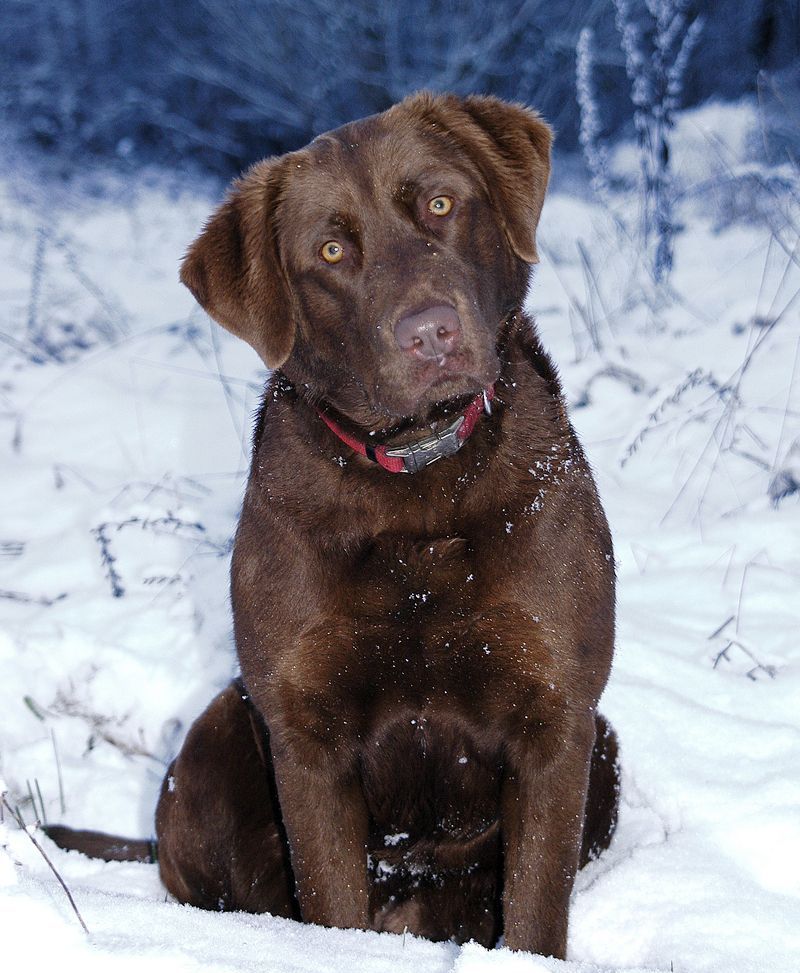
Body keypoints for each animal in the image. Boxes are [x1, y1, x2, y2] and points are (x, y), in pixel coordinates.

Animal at [43, 95, 620, 960]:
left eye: (441, 204)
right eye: (332, 250)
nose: (431, 333)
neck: (415, 484)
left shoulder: (558, 712)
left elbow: (535, 905)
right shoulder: (303, 728)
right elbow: (330, 901)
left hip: (605, 750)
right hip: (214, 736)